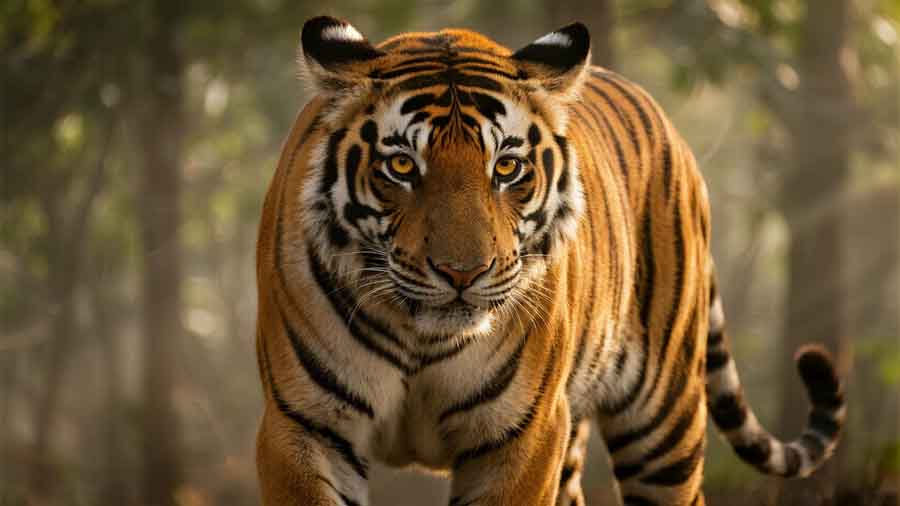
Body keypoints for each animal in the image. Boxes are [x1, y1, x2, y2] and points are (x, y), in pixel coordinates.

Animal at [255, 15, 846, 506]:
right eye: (401, 166)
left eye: (506, 167)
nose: (462, 273)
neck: (424, 339)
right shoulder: (305, 427)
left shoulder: (523, 434)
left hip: (663, 422)